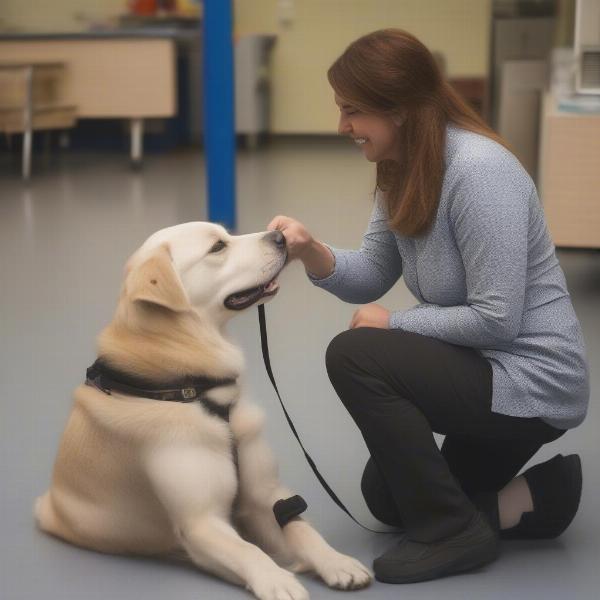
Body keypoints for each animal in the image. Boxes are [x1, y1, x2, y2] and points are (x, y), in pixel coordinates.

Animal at [34, 223, 370, 600]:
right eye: (217, 247)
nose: (281, 236)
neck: (192, 390)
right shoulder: (201, 522)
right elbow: (248, 550)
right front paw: (278, 581)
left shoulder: (267, 495)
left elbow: (300, 527)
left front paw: (336, 561)